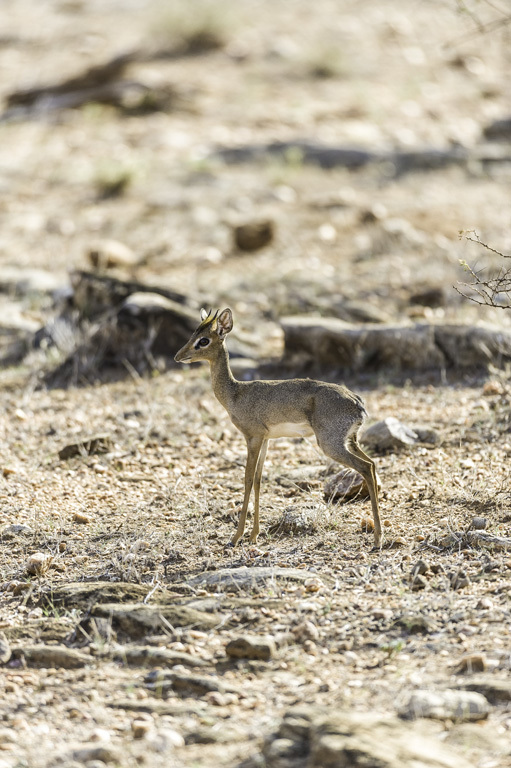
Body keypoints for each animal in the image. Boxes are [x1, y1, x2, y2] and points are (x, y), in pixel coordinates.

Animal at [174, 308, 382, 548]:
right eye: (193, 334)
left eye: (203, 340)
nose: (178, 356)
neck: (235, 393)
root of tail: (357, 402)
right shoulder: (265, 439)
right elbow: (258, 480)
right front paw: (254, 535)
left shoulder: (252, 438)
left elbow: (247, 479)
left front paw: (236, 537)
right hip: (350, 441)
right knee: (372, 464)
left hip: (330, 445)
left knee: (364, 467)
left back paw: (378, 539)